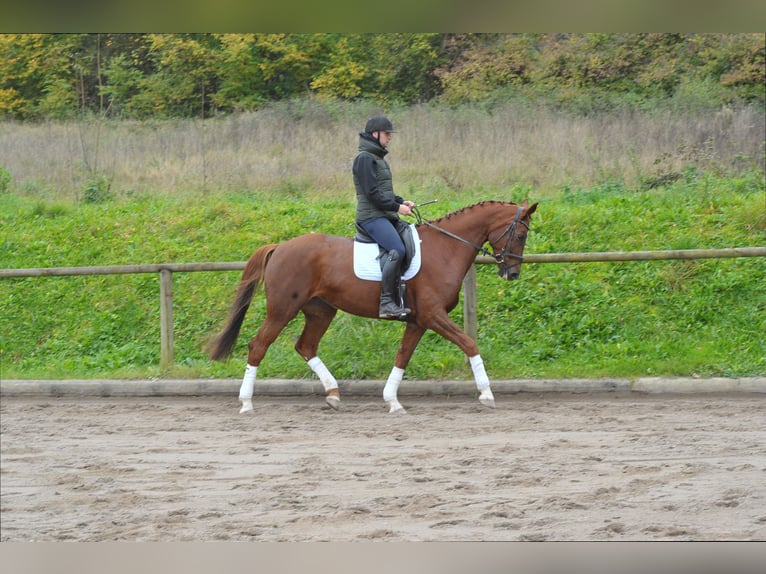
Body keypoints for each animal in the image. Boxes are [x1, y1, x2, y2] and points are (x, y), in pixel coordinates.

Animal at [210, 199, 540, 414]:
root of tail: (280, 246)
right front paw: (486, 393)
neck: (446, 249)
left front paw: (392, 400)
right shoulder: (433, 315)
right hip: (282, 310)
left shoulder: (418, 320)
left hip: (321, 310)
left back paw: (333, 394)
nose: (512, 274)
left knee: (306, 346)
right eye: (522, 234)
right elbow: (469, 343)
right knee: (259, 346)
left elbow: (403, 356)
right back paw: (246, 403)